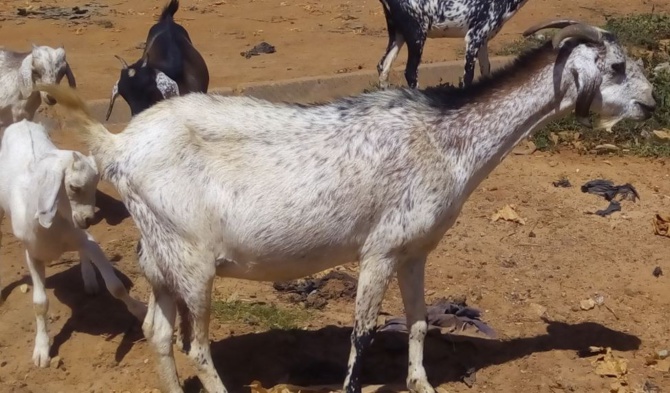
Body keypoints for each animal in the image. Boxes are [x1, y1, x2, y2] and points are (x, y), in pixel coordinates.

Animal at [40, 19, 656, 392]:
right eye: (617, 67)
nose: (652, 103)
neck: (446, 138)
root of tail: (119, 147)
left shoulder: (415, 251)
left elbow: (417, 322)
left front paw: (421, 382)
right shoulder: (378, 249)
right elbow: (362, 334)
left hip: (159, 258)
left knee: (158, 332)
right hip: (192, 261)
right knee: (197, 347)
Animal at [378, 0, 532, 88]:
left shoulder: (482, 39)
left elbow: (486, 70)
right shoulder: (473, 38)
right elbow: (468, 77)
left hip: (398, 34)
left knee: (383, 67)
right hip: (416, 34)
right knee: (410, 73)